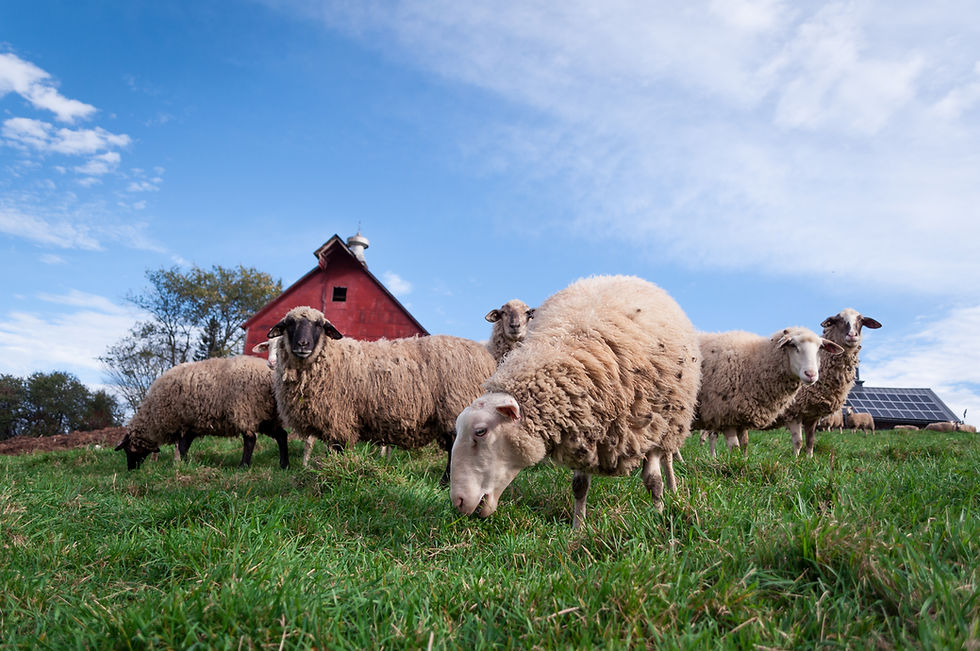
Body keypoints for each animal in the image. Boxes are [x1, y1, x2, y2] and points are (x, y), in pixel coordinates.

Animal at [115, 355, 289, 470]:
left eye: (128, 450)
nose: (131, 470)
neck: (153, 416)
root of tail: (270, 375)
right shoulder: (191, 426)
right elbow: (184, 446)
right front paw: (183, 463)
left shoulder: (183, 424)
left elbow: (182, 447)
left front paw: (181, 464)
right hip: (267, 416)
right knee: (282, 435)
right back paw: (284, 465)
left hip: (245, 410)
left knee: (250, 439)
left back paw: (243, 466)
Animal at [268, 306, 496, 485]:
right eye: (289, 324)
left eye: (319, 325)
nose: (302, 344)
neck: (328, 359)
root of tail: (487, 358)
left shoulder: (340, 419)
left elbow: (339, 450)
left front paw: (340, 474)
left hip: (455, 408)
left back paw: (447, 483)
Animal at [450, 275, 701, 529]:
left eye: (480, 432)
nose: (458, 502)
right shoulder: (582, 428)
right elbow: (580, 487)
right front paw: (577, 528)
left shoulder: (650, 427)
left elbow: (652, 481)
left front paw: (659, 516)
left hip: (672, 420)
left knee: (668, 458)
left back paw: (673, 489)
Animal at [695, 327, 844, 458]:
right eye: (793, 345)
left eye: (820, 348)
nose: (811, 374)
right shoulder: (725, 415)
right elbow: (735, 448)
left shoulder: (740, 417)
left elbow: (744, 444)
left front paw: (743, 461)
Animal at [775, 308, 881, 457]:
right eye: (837, 320)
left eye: (861, 320)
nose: (852, 335)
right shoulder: (793, 412)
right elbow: (798, 442)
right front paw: (795, 460)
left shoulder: (812, 415)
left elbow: (810, 442)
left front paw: (809, 459)